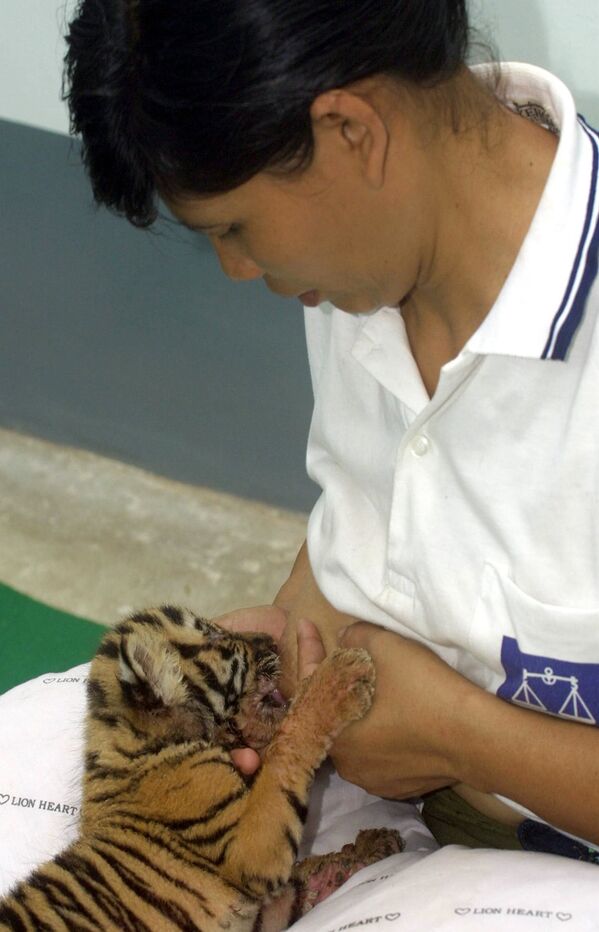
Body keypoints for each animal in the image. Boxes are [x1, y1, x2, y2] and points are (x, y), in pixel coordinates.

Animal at [0, 605, 381, 931]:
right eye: (213, 637)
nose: (272, 640)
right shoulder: (250, 852)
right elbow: (288, 746)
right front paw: (342, 676)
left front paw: (365, 852)